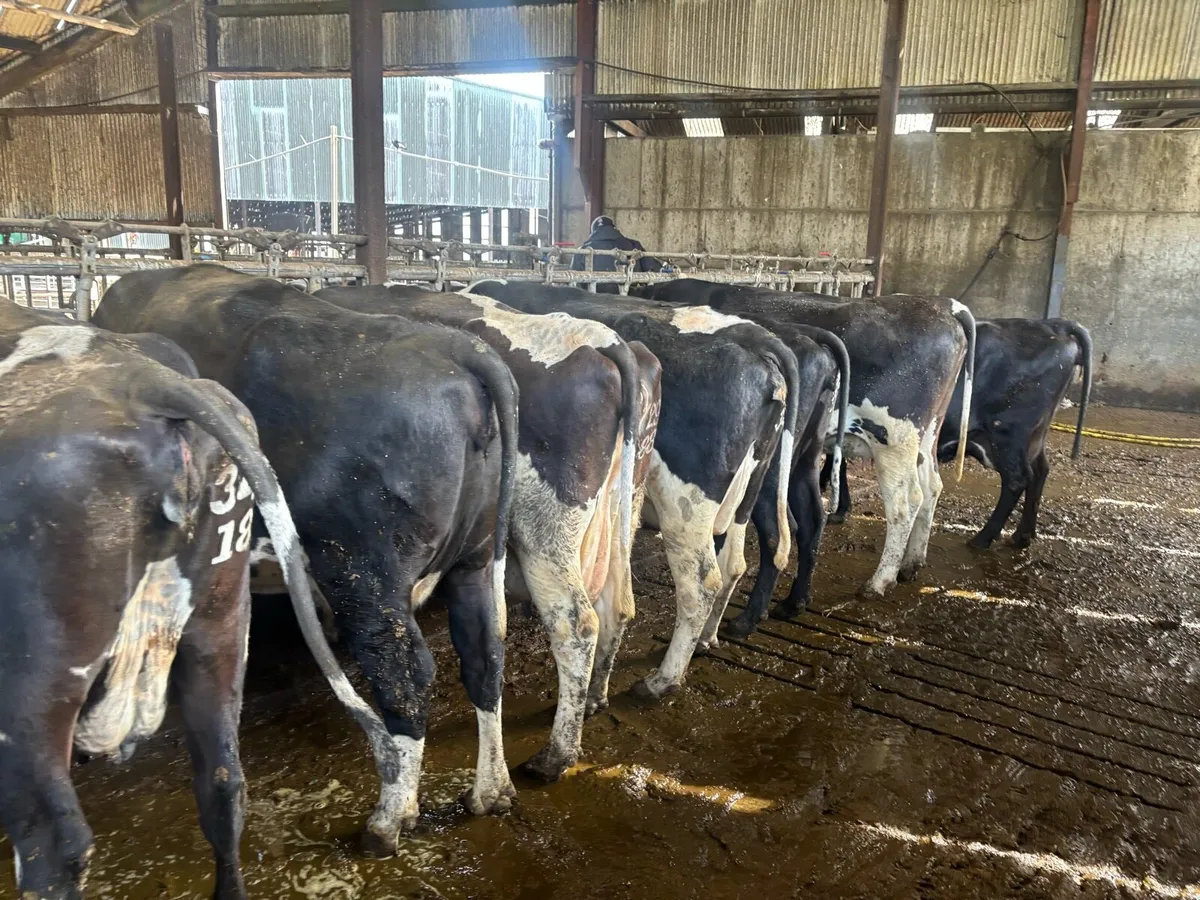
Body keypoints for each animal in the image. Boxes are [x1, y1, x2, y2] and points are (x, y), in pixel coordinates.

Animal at [93, 264, 519, 857]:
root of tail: (457, 347)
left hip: (364, 573)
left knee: (405, 676)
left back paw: (389, 819)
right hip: (475, 559)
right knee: (484, 654)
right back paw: (492, 790)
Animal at [316, 283, 663, 782]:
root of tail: (603, 342)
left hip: (545, 532)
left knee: (578, 624)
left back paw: (554, 757)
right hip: (624, 508)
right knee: (618, 604)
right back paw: (595, 699)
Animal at [468, 281, 802, 699]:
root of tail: (758, 341)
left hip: (685, 507)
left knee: (701, 582)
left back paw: (661, 681)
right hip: (748, 490)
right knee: (739, 560)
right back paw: (710, 638)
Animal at [638, 279, 975, 603]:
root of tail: (944, 306)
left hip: (894, 439)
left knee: (905, 504)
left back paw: (879, 581)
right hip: (925, 436)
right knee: (931, 487)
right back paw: (911, 563)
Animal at [827, 317, 1092, 550]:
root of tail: (1054, 325)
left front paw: (837, 508)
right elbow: (836, 464)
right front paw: (840, 507)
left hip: (1007, 434)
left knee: (1018, 479)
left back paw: (984, 538)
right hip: (1033, 437)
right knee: (1040, 472)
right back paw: (1022, 535)